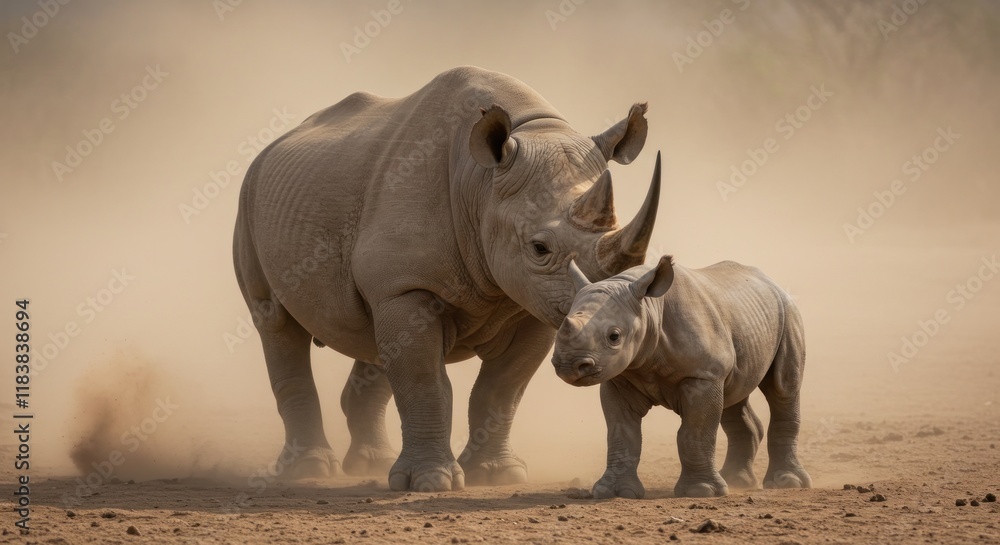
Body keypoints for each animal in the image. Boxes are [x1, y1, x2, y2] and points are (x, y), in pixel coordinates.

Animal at [232, 66, 660, 492]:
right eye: (539, 248)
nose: (609, 323)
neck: (482, 183)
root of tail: (273, 147)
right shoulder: (409, 285)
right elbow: (425, 382)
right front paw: (431, 481)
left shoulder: (534, 300)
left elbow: (502, 387)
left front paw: (495, 474)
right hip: (249, 200)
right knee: (276, 322)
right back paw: (309, 470)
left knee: (373, 338)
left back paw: (370, 464)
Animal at [551, 254, 811, 498]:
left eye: (614, 336)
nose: (568, 365)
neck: (648, 308)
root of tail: (771, 281)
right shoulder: (620, 378)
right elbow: (621, 433)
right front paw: (613, 492)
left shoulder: (702, 376)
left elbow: (694, 433)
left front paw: (701, 491)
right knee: (733, 395)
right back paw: (736, 481)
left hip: (788, 312)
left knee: (783, 388)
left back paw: (787, 483)